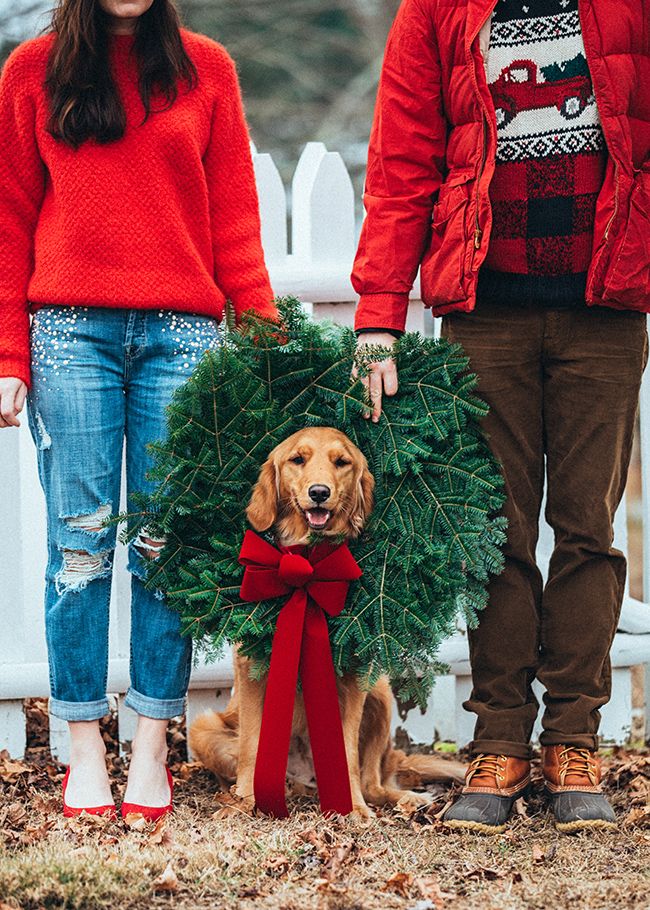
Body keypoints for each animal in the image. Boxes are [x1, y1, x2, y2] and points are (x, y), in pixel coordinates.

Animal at [190, 428, 464, 820]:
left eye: (341, 462)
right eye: (297, 459)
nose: (319, 492)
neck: (308, 561)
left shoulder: (352, 679)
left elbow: (346, 754)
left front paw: (353, 808)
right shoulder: (253, 669)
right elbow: (252, 746)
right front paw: (244, 801)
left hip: (379, 692)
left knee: (374, 782)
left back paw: (405, 799)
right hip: (203, 726)